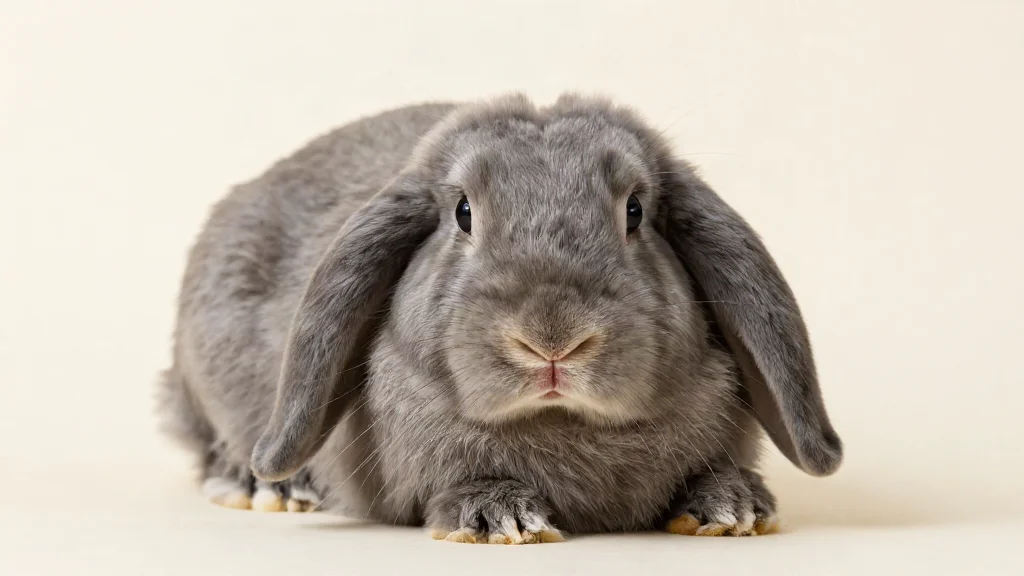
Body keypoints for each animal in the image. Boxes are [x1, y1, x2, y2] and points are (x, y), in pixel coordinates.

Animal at [158, 93, 843, 543]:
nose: (552, 340)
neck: (563, 422)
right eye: (464, 212)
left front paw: (734, 507)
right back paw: (270, 489)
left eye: (635, 211)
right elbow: (460, 481)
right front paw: (497, 518)